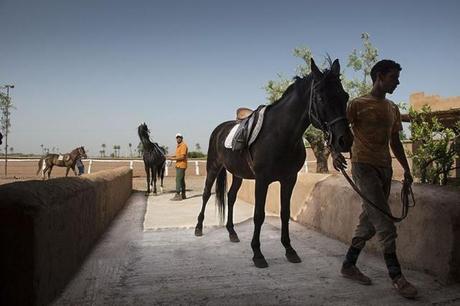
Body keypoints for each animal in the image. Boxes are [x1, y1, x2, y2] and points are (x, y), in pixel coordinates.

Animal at [194, 58, 352, 268]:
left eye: (345, 96)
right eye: (320, 98)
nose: (345, 140)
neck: (280, 134)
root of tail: (219, 129)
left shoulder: (289, 179)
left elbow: (285, 213)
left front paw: (290, 250)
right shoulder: (262, 180)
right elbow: (258, 215)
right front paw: (257, 254)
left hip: (237, 174)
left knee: (231, 196)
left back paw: (232, 232)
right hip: (213, 167)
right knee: (205, 195)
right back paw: (198, 228)